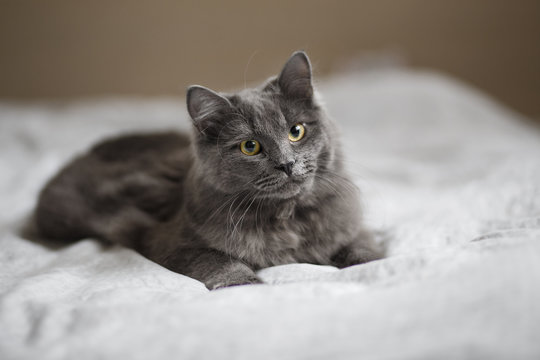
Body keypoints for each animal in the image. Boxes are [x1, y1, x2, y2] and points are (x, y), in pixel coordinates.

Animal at [34, 51, 384, 290]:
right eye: (250, 146)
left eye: (296, 131)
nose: (287, 164)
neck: (287, 218)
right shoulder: (171, 244)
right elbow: (218, 260)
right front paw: (248, 284)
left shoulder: (349, 226)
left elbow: (364, 247)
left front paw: (369, 265)